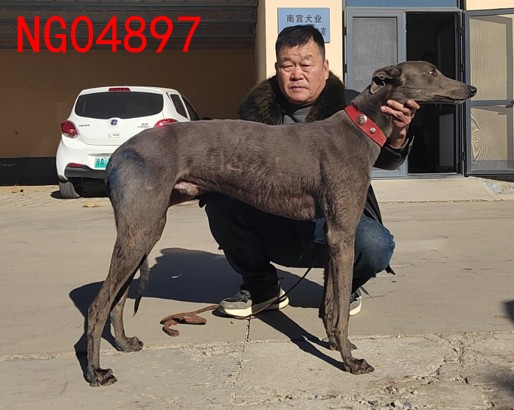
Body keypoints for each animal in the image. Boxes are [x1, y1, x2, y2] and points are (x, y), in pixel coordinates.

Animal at [85, 61, 476, 386]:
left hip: (145, 230)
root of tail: (117, 154)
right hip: (141, 229)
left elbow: (331, 304)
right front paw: (350, 361)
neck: (361, 128)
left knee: (117, 299)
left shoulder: (333, 236)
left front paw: (334, 343)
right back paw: (96, 372)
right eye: (432, 72)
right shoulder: (342, 233)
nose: (471, 88)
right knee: (98, 304)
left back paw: (124, 343)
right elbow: (340, 313)